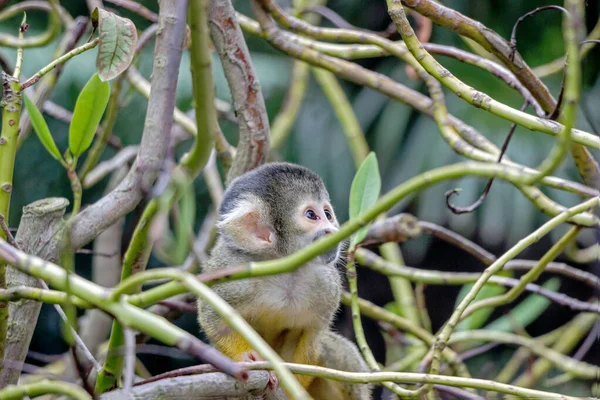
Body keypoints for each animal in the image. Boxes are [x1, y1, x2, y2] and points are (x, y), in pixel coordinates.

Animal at [199, 163, 372, 400]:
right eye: (311, 215)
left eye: (328, 214)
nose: (332, 230)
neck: (286, 270)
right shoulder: (234, 269)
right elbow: (212, 314)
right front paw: (245, 356)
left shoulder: (327, 285)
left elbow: (311, 337)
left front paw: (291, 388)